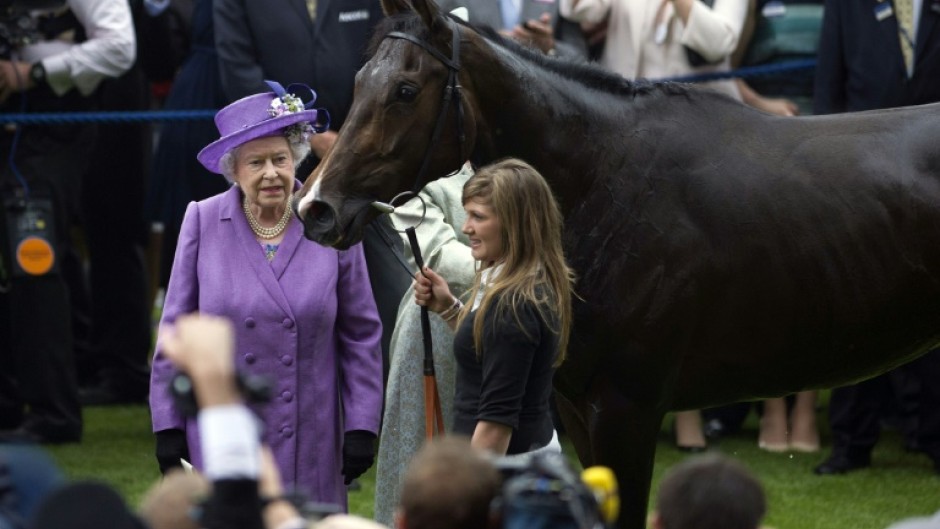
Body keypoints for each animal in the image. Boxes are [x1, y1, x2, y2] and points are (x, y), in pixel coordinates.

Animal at [298, 1, 940, 528]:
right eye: (359, 82)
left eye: (406, 90)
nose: (316, 209)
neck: (607, 181)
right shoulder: (574, 408)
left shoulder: (627, 409)